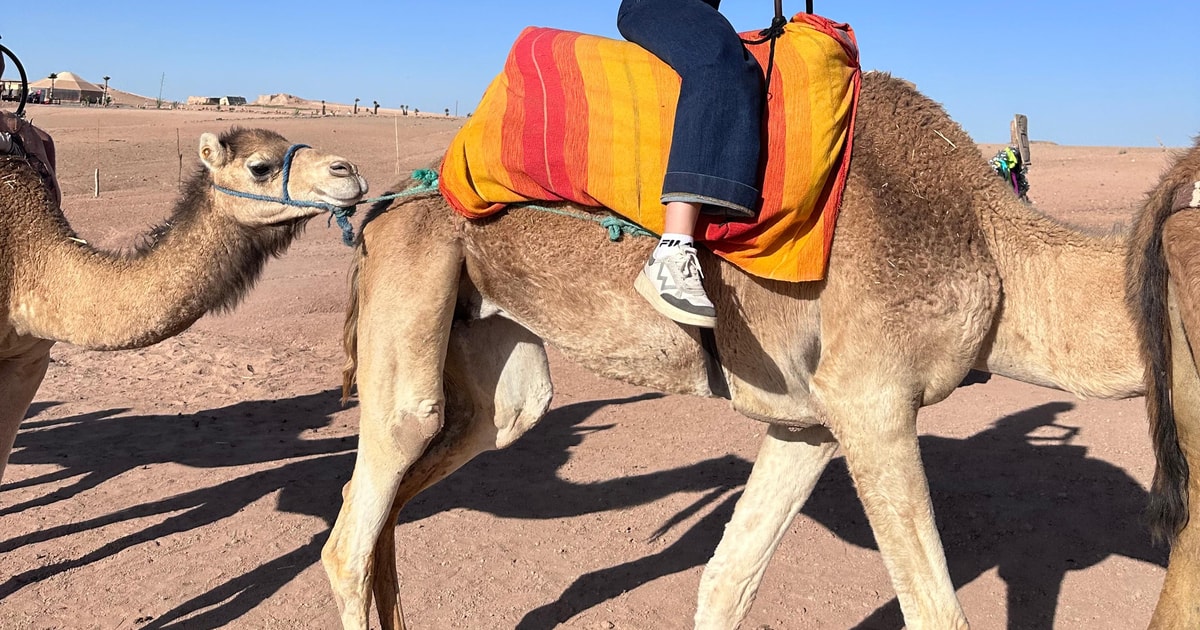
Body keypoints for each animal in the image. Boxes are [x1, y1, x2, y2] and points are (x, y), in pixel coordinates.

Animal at [320, 69, 1190, 629]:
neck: (992, 250)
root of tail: (385, 202)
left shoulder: (809, 419)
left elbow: (725, 583)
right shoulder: (872, 401)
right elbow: (936, 612)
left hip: (495, 349)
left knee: (444, 458)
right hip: (414, 280)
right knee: (358, 521)